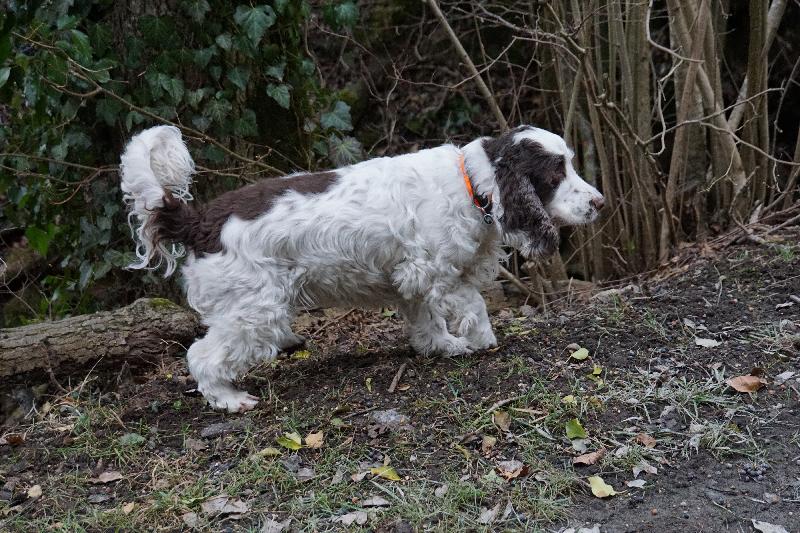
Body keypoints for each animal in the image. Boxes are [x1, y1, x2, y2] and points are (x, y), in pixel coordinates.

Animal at [120, 125, 604, 412]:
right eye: (555, 173)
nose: (599, 202)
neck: (472, 185)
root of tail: (199, 221)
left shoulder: (411, 277)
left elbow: (427, 322)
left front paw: (442, 347)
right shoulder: (438, 272)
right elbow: (474, 306)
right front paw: (482, 341)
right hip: (254, 311)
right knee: (201, 356)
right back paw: (230, 399)